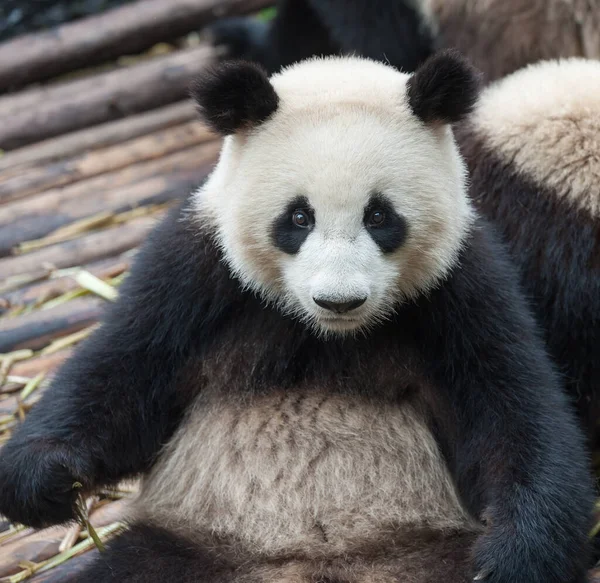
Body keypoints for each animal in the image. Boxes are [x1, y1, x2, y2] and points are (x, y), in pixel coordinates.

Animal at [0, 52, 592, 580]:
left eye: (380, 216)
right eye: (299, 217)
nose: (339, 301)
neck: (328, 336)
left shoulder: (462, 288)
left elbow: (511, 409)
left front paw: (514, 556)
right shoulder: (197, 273)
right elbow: (124, 378)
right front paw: (46, 479)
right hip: (186, 546)